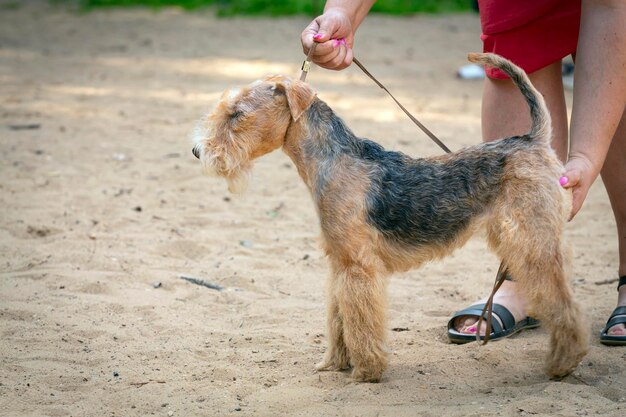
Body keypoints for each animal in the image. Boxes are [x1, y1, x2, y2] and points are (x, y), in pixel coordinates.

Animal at [190, 53, 584, 382]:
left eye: (238, 113)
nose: (197, 151)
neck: (334, 161)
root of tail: (533, 140)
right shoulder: (340, 264)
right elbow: (338, 318)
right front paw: (334, 363)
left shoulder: (358, 268)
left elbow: (361, 321)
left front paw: (366, 371)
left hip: (532, 241)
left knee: (565, 306)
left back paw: (562, 363)